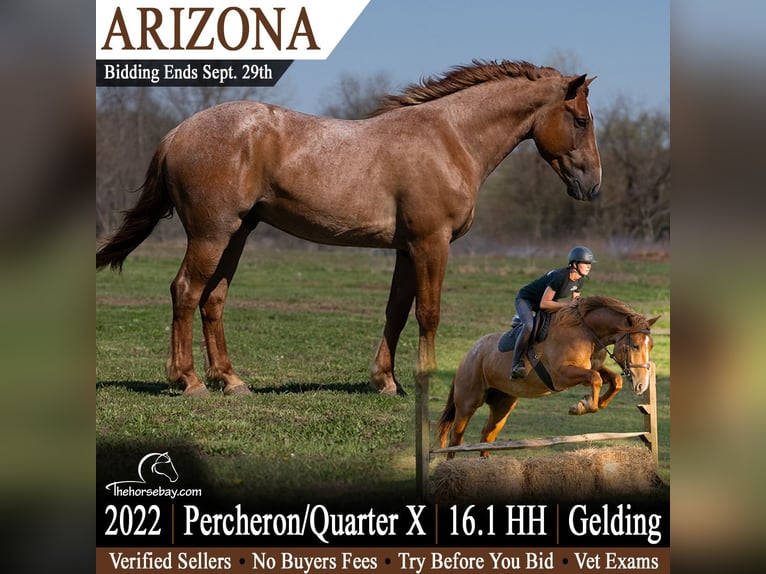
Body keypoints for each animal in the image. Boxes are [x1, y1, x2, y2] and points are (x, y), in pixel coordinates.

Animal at [96, 60, 602, 397]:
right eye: (580, 120)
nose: (592, 185)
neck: (448, 137)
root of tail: (176, 133)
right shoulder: (430, 244)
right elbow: (428, 312)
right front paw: (424, 379)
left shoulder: (406, 249)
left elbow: (396, 311)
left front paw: (386, 381)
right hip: (211, 234)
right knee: (185, 291)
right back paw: (189, 380)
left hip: (236, 234)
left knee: (212, 299)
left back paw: (231, 380)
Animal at [437, 296, 659, 458]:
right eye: (635, 345)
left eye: (651, 346)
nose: (642, 385)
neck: (585, 333)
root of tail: (468, 354)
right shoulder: (561, 376)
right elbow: (595, 378)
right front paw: (581, 406)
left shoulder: (591, 366)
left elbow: (614, 380)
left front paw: (590, 403)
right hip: (468, 403)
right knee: (455, 439)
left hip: (503, 404)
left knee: (487, 435)